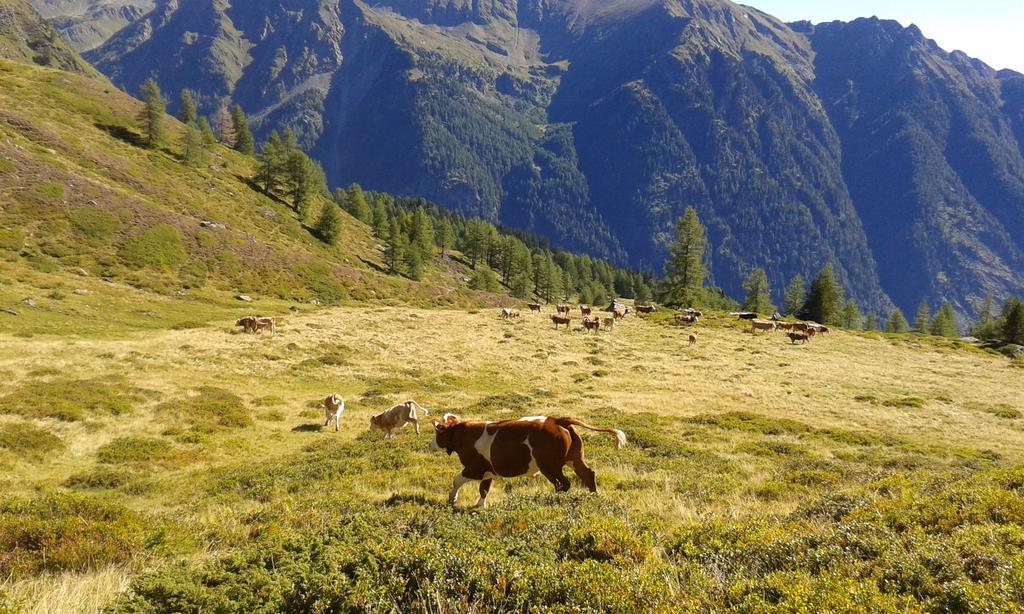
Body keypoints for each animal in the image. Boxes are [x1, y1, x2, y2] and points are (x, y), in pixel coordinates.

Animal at [430, 413, 626, 507]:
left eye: (436, 432)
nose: (430, 444)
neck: (461, 434)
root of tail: (557, 420)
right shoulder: (488, 471)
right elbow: (484, 489)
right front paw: (479, 506)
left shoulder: (474, 468)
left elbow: (457, 480)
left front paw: (452, 499)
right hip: (574, 459)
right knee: (588, 475)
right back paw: (594, 497)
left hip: (549, 466)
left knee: (563, 484)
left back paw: (554, 500)